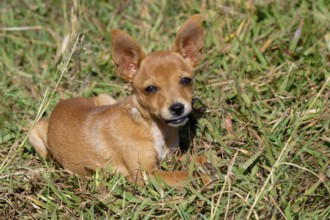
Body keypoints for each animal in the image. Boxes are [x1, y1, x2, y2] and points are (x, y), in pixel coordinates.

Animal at [27, 14, 211, 186]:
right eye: (150, 89)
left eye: (186, 81)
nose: (177, 108)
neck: (149, 125)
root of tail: (61, 103)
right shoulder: (148, 175)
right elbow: (183, 175)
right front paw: (205, 177)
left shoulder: (172, 156)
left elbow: (190, 159)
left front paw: (203, 162)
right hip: (35, 135)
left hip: (105, 98)